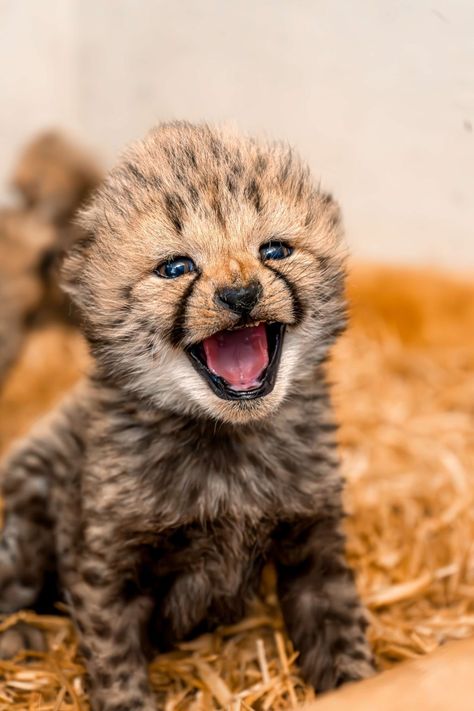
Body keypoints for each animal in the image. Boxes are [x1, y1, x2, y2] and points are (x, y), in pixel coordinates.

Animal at [0, 124, 374, 711]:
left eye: (274, 250)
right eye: (176, 267)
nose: (241, 295)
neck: (227, 438)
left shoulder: (314, 548)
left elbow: (342, 639)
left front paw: (358, 678)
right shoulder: (109, 571)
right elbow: (116, 663)